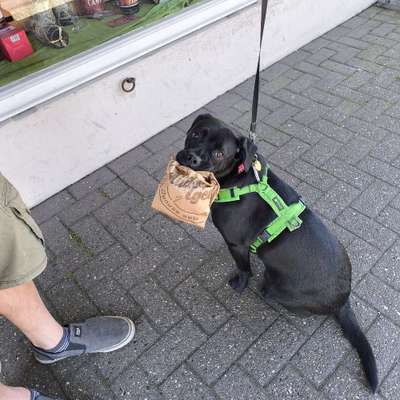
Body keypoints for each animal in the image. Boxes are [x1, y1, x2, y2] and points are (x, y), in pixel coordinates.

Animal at [177, 114, 378, 392]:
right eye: (196, 134)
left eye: (219, 153)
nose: (191, 158)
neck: (236, 179)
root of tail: (343, 300)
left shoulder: (237, 245)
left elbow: (244, 268)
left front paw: (239, 283)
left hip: (275, 286)